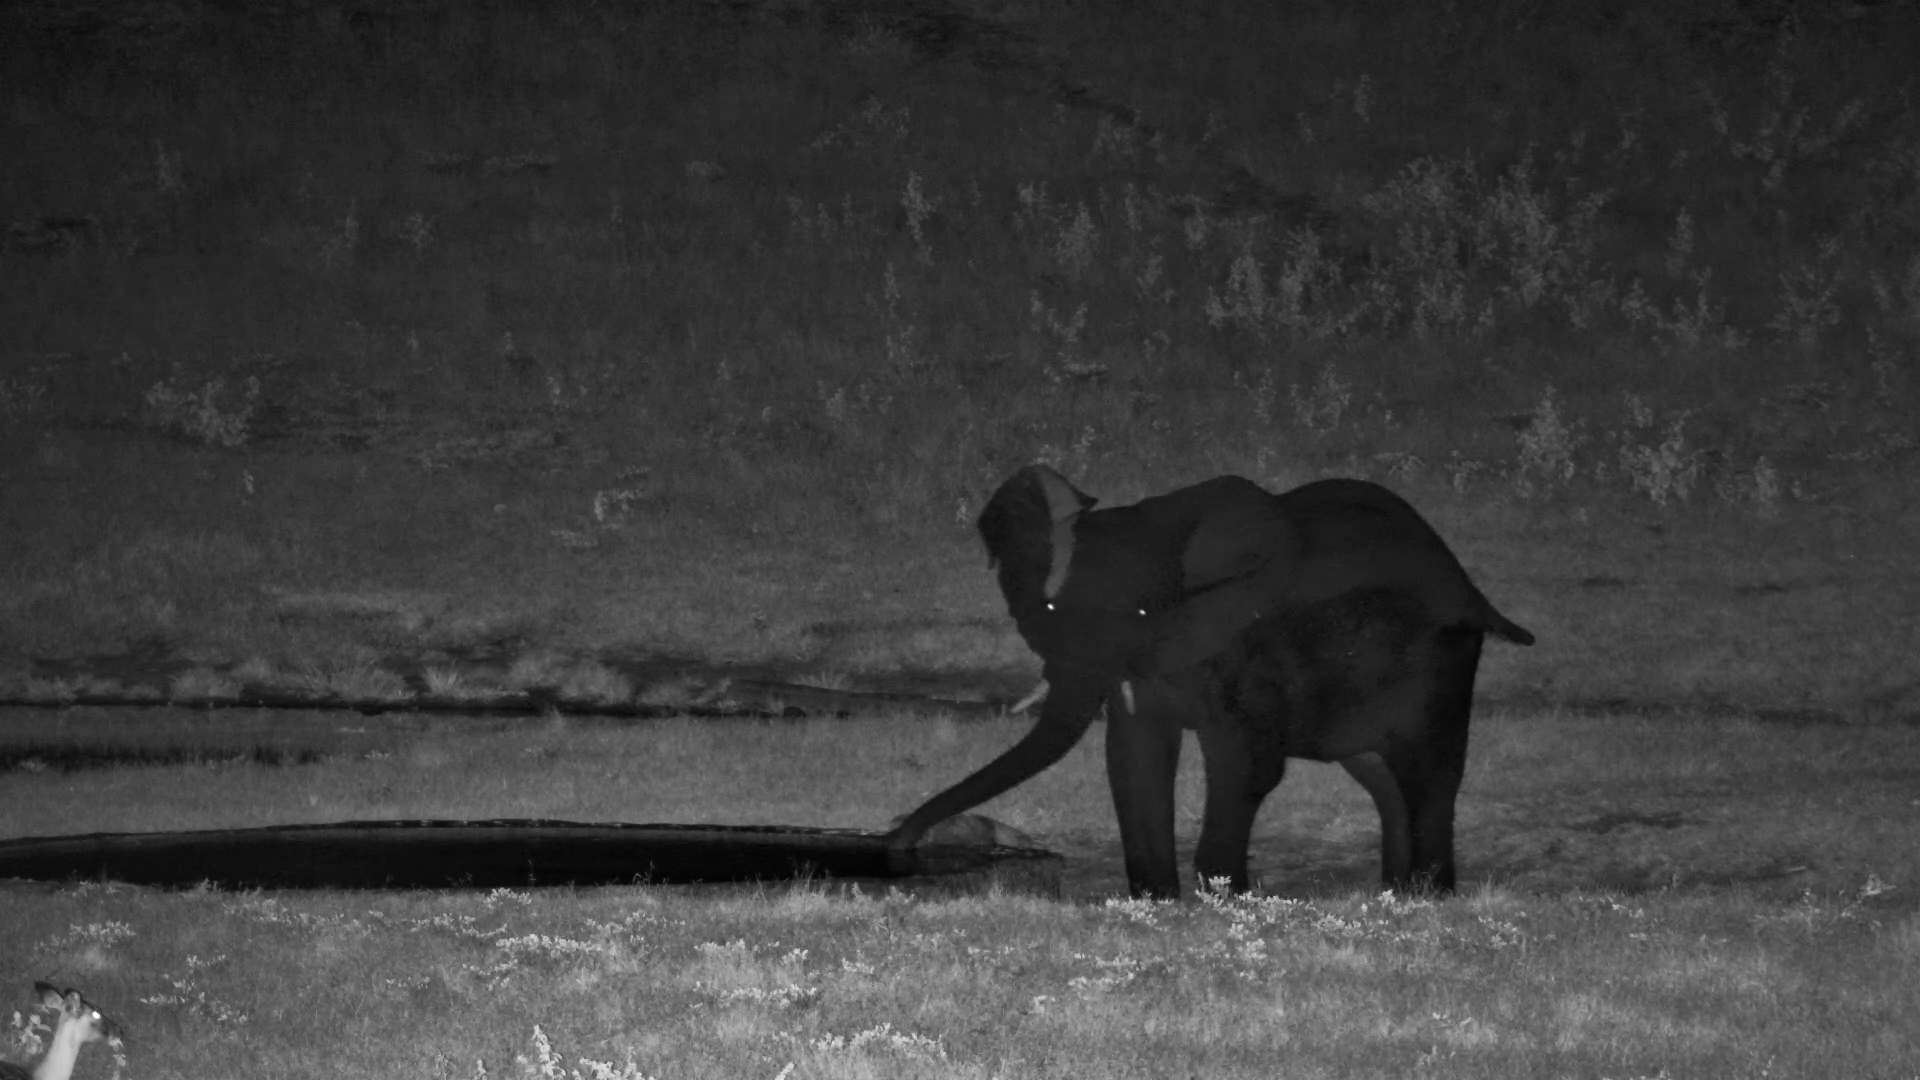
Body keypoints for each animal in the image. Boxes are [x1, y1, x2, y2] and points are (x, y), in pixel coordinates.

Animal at [886, 464, 1534, 899]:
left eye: (1137, 614)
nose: (897, 839)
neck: (1151, 535)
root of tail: (1474, 589)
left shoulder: (1241, 640)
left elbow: (1245, 764)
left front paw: (1225, 898)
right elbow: (1134, 756)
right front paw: (1155, 902)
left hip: (1441, 660)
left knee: (1429, 773)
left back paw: (1429, 895)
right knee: (1380, 776)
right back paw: (1395, 894)